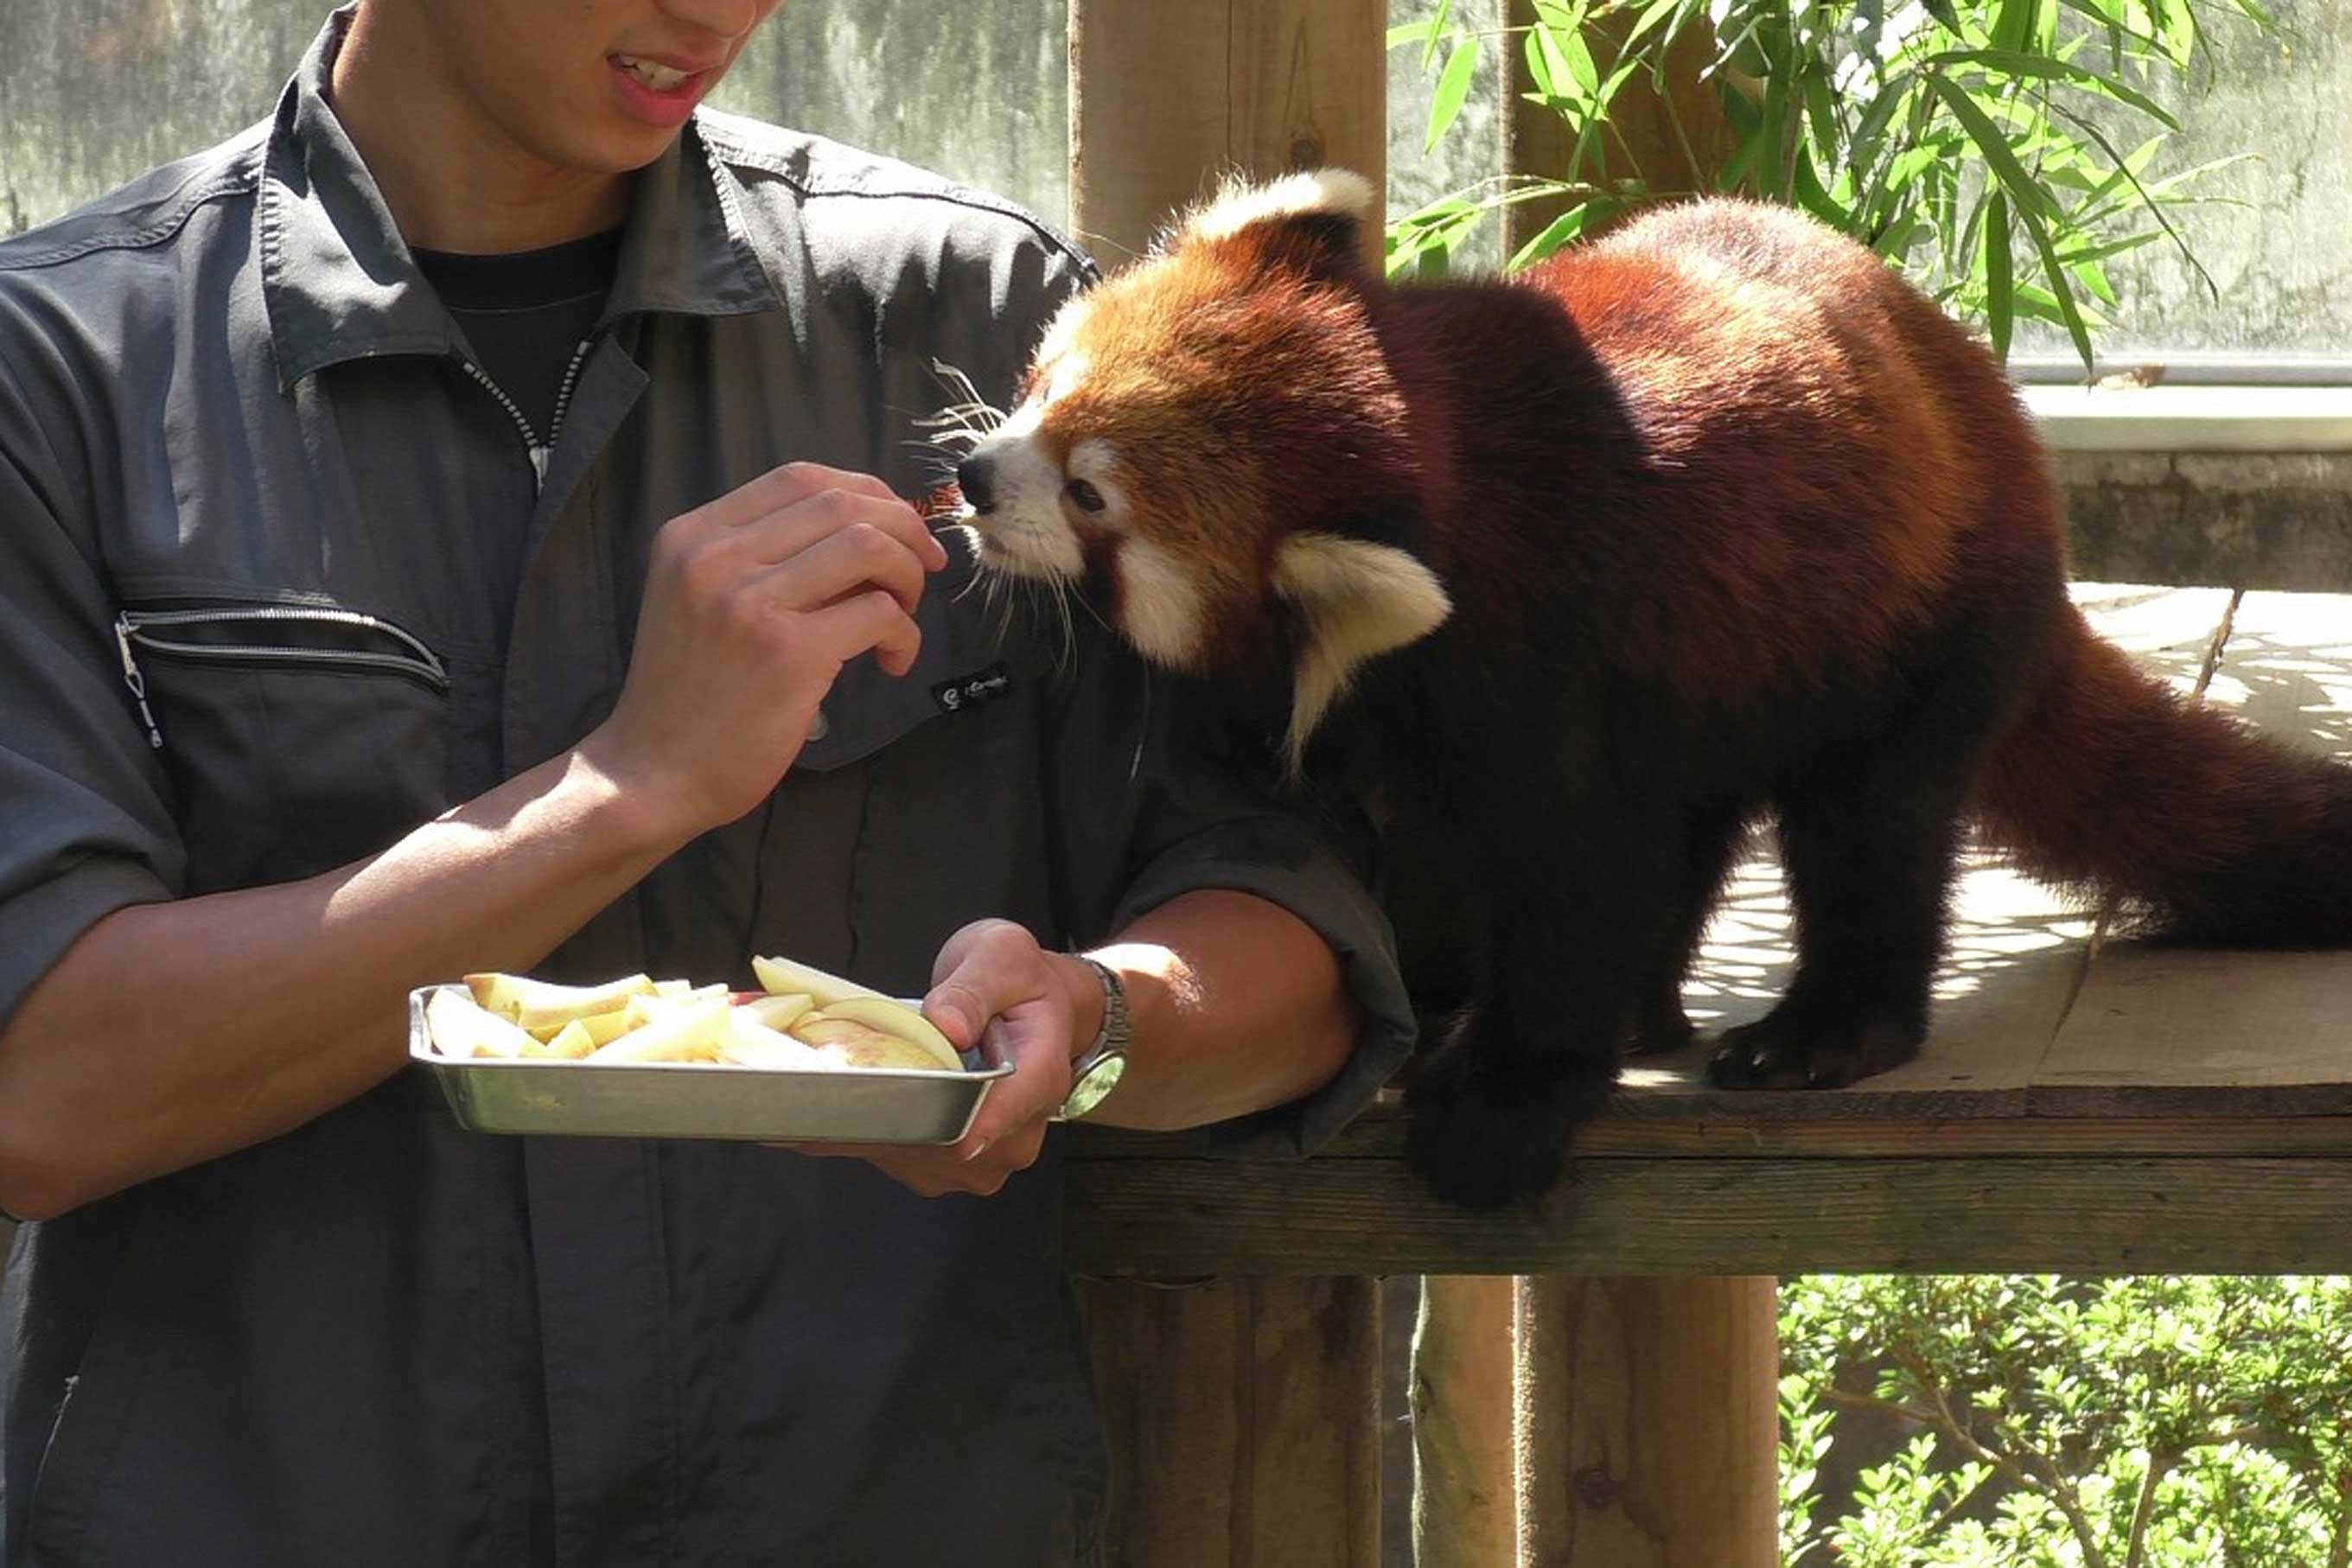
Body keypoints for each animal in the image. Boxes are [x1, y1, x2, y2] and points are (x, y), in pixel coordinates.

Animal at [940, 165, 2352, 1213]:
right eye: (1049, 381)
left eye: (1092, 498)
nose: (975, 480)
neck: (1442, 452)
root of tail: (1999, 429)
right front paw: (1436, 984)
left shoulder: (1541, 646)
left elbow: (1574, 872)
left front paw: (1507, 1093)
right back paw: (1651, 1004)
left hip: (1923, 625)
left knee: (1870, 830)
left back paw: (1823, 1028)